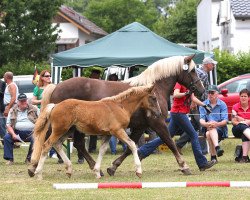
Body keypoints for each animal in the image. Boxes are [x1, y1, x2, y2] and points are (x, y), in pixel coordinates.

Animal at [30, 85, 161, 179]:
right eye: (153, 98)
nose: (159, 113)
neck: (120, 106)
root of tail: (55, 105)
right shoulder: (118, 131)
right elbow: (133, 145)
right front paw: (139, 171)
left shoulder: (108, 134)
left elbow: (102, 150)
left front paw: (97, 172)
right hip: (59, 130)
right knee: (47, 145)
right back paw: (38, 173)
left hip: (67, 131)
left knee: (57, 144)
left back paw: (69, 170)